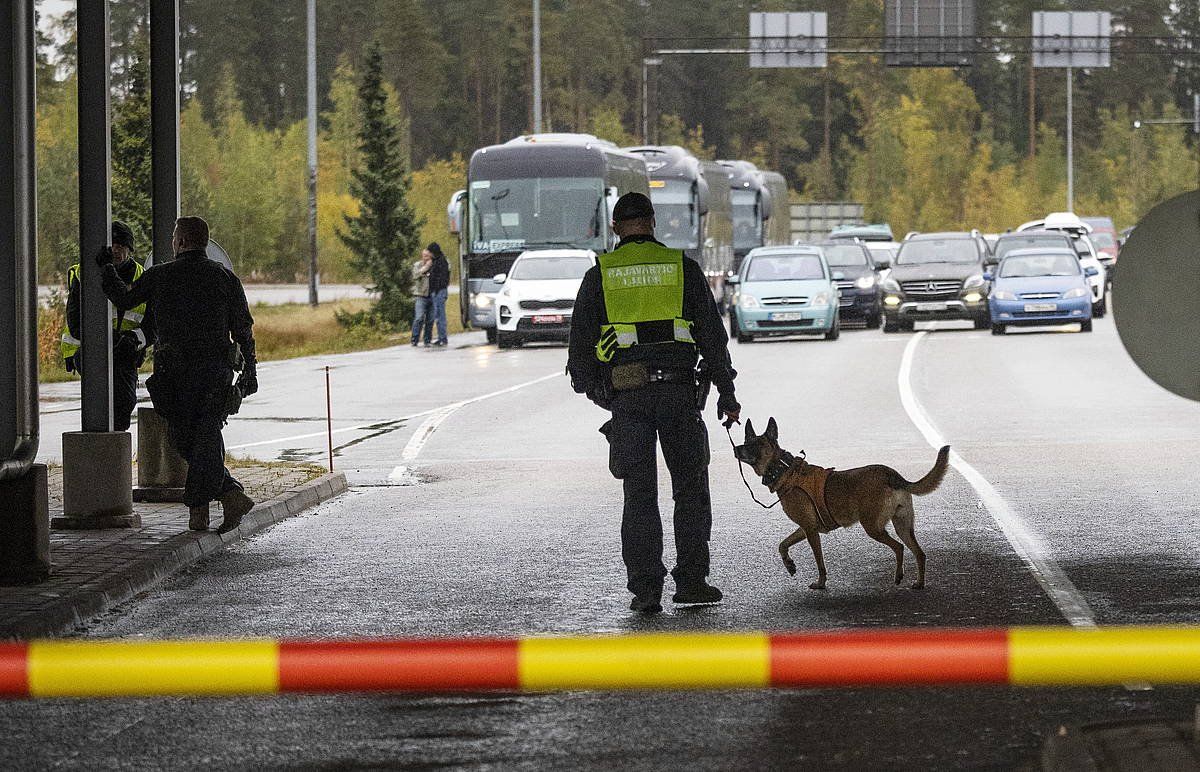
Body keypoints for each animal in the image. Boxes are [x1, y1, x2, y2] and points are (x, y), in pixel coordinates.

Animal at [729, 420, 945, 588]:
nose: (736, 448)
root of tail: (891, 474)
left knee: (899, 548)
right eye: (746, 441)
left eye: (756, 443)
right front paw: (789, 564)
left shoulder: (810, 531)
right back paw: (919, 583)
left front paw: (821, 583)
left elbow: (819, 561)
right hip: (902, 526)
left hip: (873, 527)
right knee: (919, 553)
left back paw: (899, 575)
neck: (784, 470)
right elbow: (782, 545)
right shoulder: (804, 528)